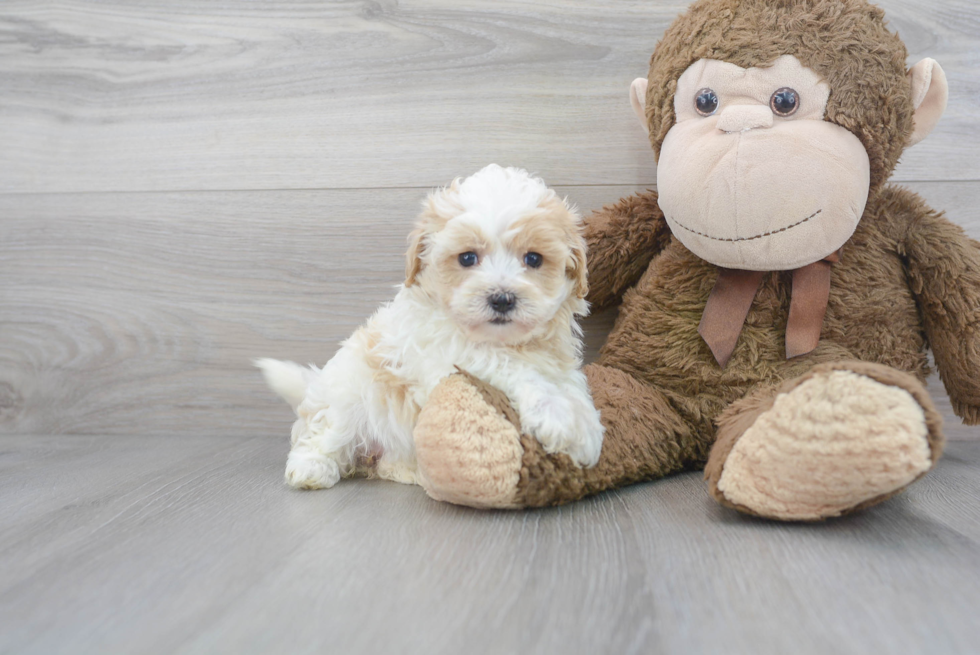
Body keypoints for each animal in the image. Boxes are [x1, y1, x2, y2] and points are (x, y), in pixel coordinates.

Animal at [256, 167, 600, 490]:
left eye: (533, 259)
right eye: (467, 258)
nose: (502, 299)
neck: (506, 341)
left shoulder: (557, 360)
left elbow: (572, 385)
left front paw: (587, 425)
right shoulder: (448, 355)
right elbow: (510, 367)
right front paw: (561, 418)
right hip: (346, 400)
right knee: (322, 434)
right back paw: (311, 467)